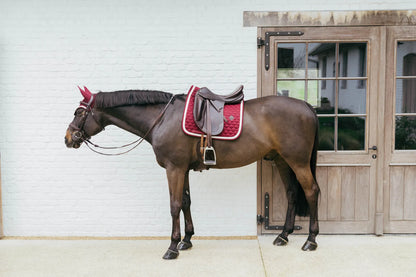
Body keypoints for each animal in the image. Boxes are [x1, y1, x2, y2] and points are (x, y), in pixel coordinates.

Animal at [65, 85, 320, 258]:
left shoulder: (174, 168)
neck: (162, 118)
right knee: (292, 193)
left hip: (297, 161)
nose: (68, 138)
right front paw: (186, 240)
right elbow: (186, 202)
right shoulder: (183, 169)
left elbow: (174, 204)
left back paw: (311, 240)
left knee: (311, 192)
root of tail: (306, 106)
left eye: (79, 112)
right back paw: (283, 235)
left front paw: (172, 247)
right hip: (282, 160)